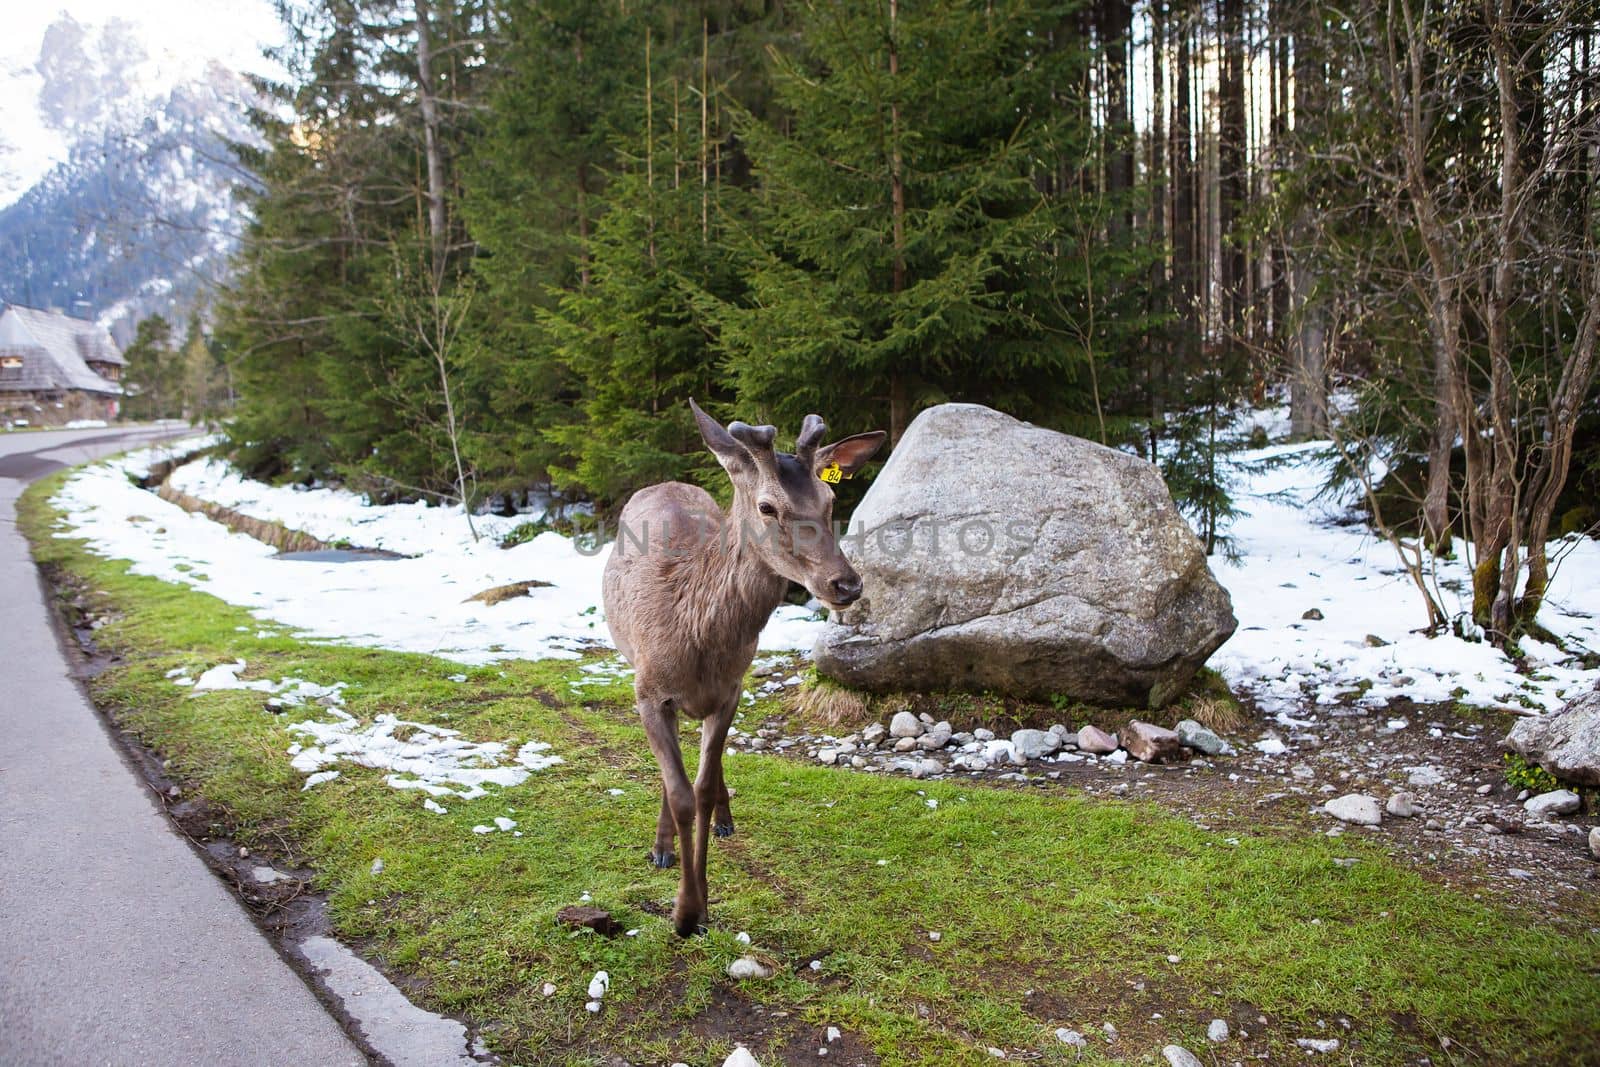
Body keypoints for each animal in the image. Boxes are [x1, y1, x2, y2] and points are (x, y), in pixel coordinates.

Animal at [601, 398, 889, 934]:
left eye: (830, 499)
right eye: (767, 506)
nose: (846, 584)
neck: (694, 633)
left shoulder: (731, 691)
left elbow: (702, 787)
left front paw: (703, 902)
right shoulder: (647, 692)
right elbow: (680, 792)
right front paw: (684, 911)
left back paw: (719, 821)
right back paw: (661, 848)